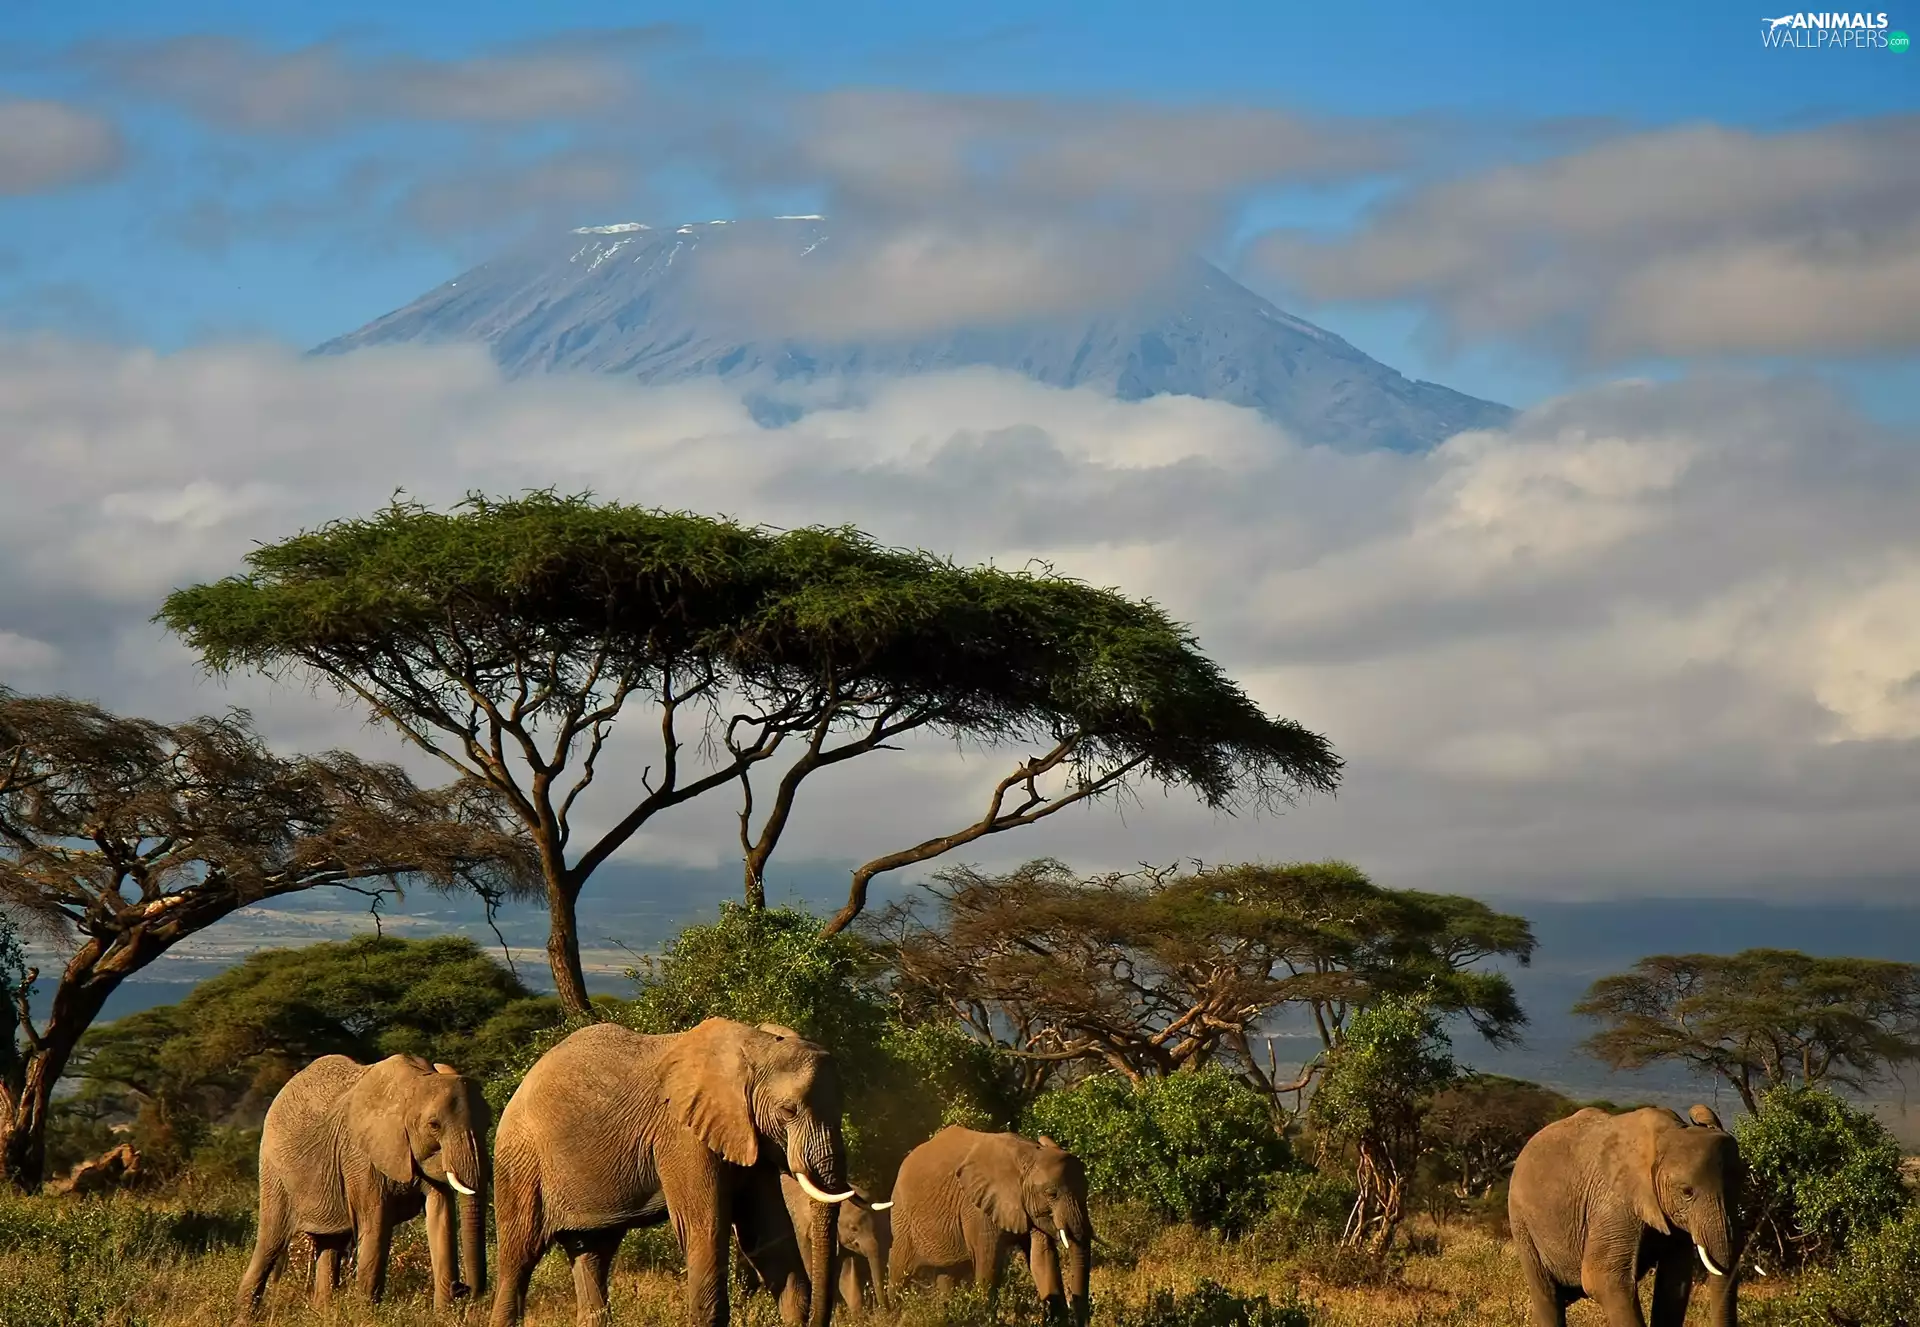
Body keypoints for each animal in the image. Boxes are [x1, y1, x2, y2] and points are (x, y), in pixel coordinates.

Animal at [236, 1054, 489, 1317]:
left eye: (489, 1124)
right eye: (434, 1125)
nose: (462, 1288)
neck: (414, 1082)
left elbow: (441, 1215)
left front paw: (443, 1315)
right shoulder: (359, 1156)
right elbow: (376, 1223)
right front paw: (367, 1315)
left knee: (330, 1243)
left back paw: (324, 1313)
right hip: (274, 1172)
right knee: (270, 1241)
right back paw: (244, 1317)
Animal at [489, 1017, 857, 1327]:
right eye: (788, 1110)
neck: (755, 1046)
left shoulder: (751, 1136)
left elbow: (766, 1235)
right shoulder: (683, 1136)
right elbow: (704, 1228)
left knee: (592, 1254)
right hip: (520, 1162)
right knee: (519, 1255)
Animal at [888, 1127, 1092, 1325]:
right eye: (1051, 1194)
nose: (1081, 1318)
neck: (1028, 1156)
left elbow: (1042, 1259)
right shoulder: (977, 1209)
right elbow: (989, 1265)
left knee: (947, 1274)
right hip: (902, 1218)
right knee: (899, 1268)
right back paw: (890, 1317)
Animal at [1509, 1103, 1744, 1327]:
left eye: (1739, 1188)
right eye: (1687, 1192)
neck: (1670, 1133)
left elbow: (1674, 1284)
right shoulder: (1613, 1204)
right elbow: (1602, 1279)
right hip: (1522, 1224)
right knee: (1548, 1297)